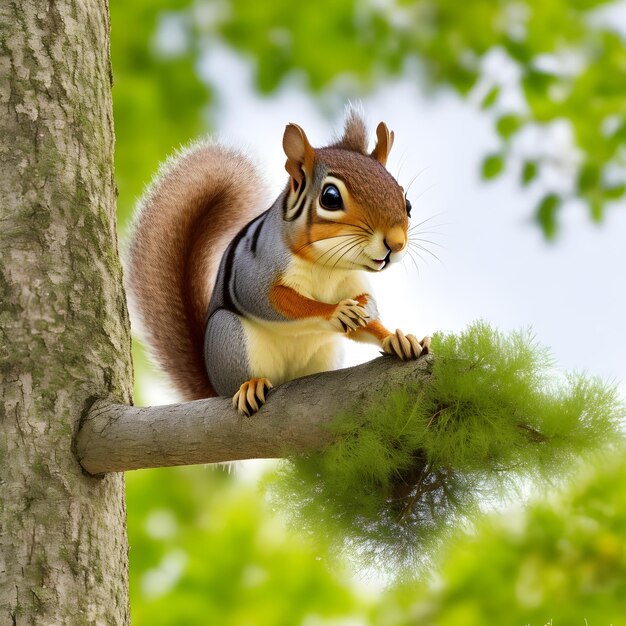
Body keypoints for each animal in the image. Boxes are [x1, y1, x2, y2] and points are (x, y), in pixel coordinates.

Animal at [127, 108, 428, 414]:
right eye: (330, 197)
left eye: (407, 202)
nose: (395, 244)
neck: (327, 265)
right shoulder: (256, 272)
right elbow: (277, 301)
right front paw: (336, 311)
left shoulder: (351, 281)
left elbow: (366, 318)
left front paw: (395, 337)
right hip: (229, 337)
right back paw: (249, 386)